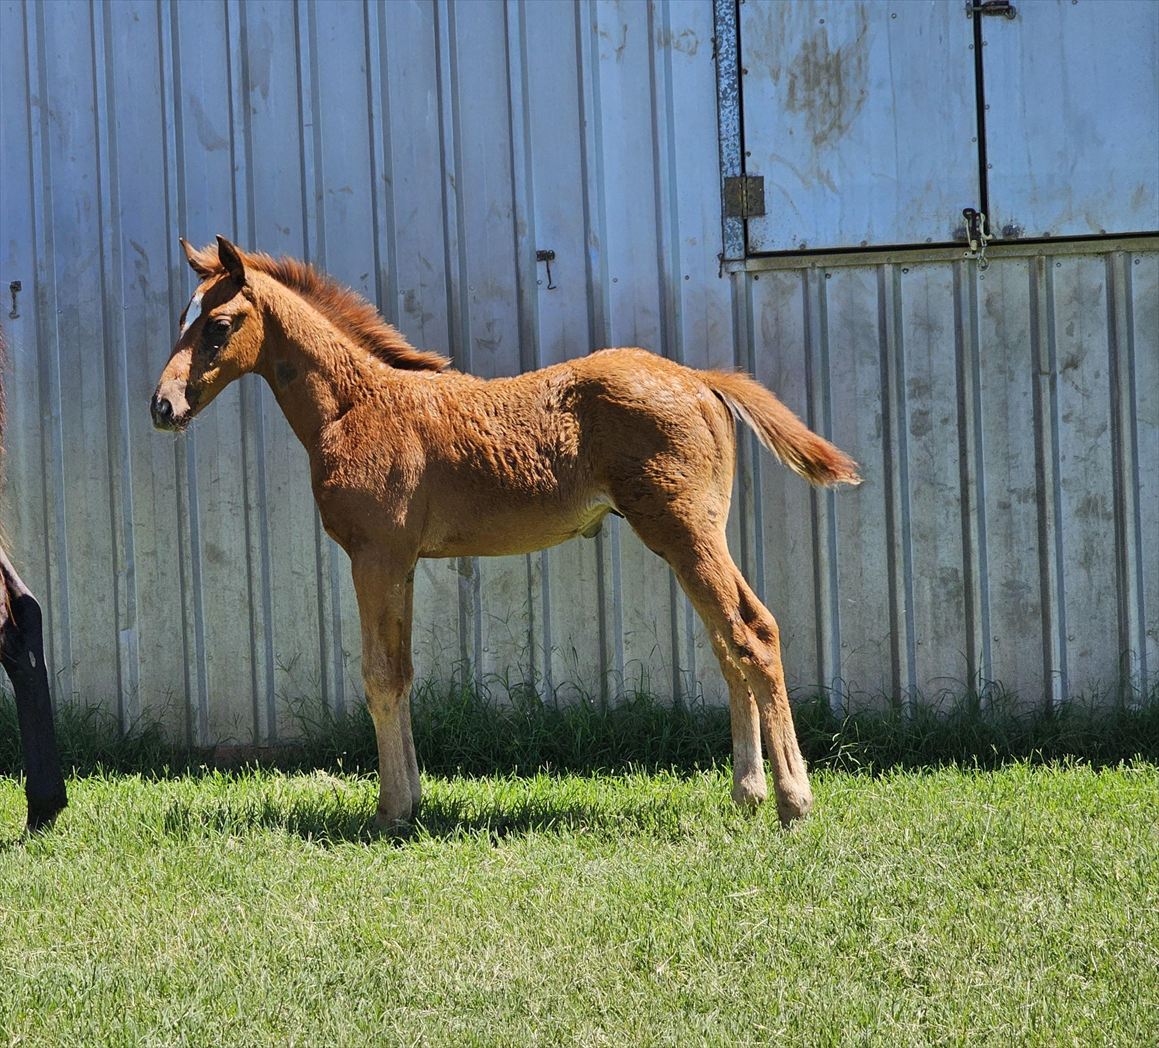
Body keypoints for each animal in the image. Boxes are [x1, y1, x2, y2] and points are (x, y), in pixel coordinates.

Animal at [152, 236, 860, 828]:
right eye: (181, 318)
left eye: (218, 326)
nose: (163, 407)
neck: (357, 406)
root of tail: (700, 380)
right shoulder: (403, 562)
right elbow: (402, 673)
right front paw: (412, 801)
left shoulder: (375, 556)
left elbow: (379, 675)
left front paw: (389, 812)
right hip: (695, 534)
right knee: (731, 638)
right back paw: (748, 793)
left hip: (684, 531)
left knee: (751, 635)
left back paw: (793, 800)